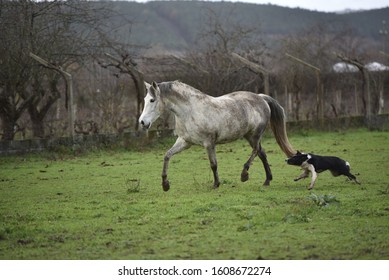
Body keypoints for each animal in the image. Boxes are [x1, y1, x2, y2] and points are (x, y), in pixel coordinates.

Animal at [139, 80, 294, 191]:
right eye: (145, 99)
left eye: (152, 100)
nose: (142, 122)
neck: (190, 111)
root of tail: (261, 98)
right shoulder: (185, 142)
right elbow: (167, 156)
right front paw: (165, 184)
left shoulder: (209, 143)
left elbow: (213, 164)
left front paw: (216, 184)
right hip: (249, 136)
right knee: (262, 153)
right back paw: (267, 180)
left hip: (254, 135)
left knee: (256, 151)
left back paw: (244, 175)